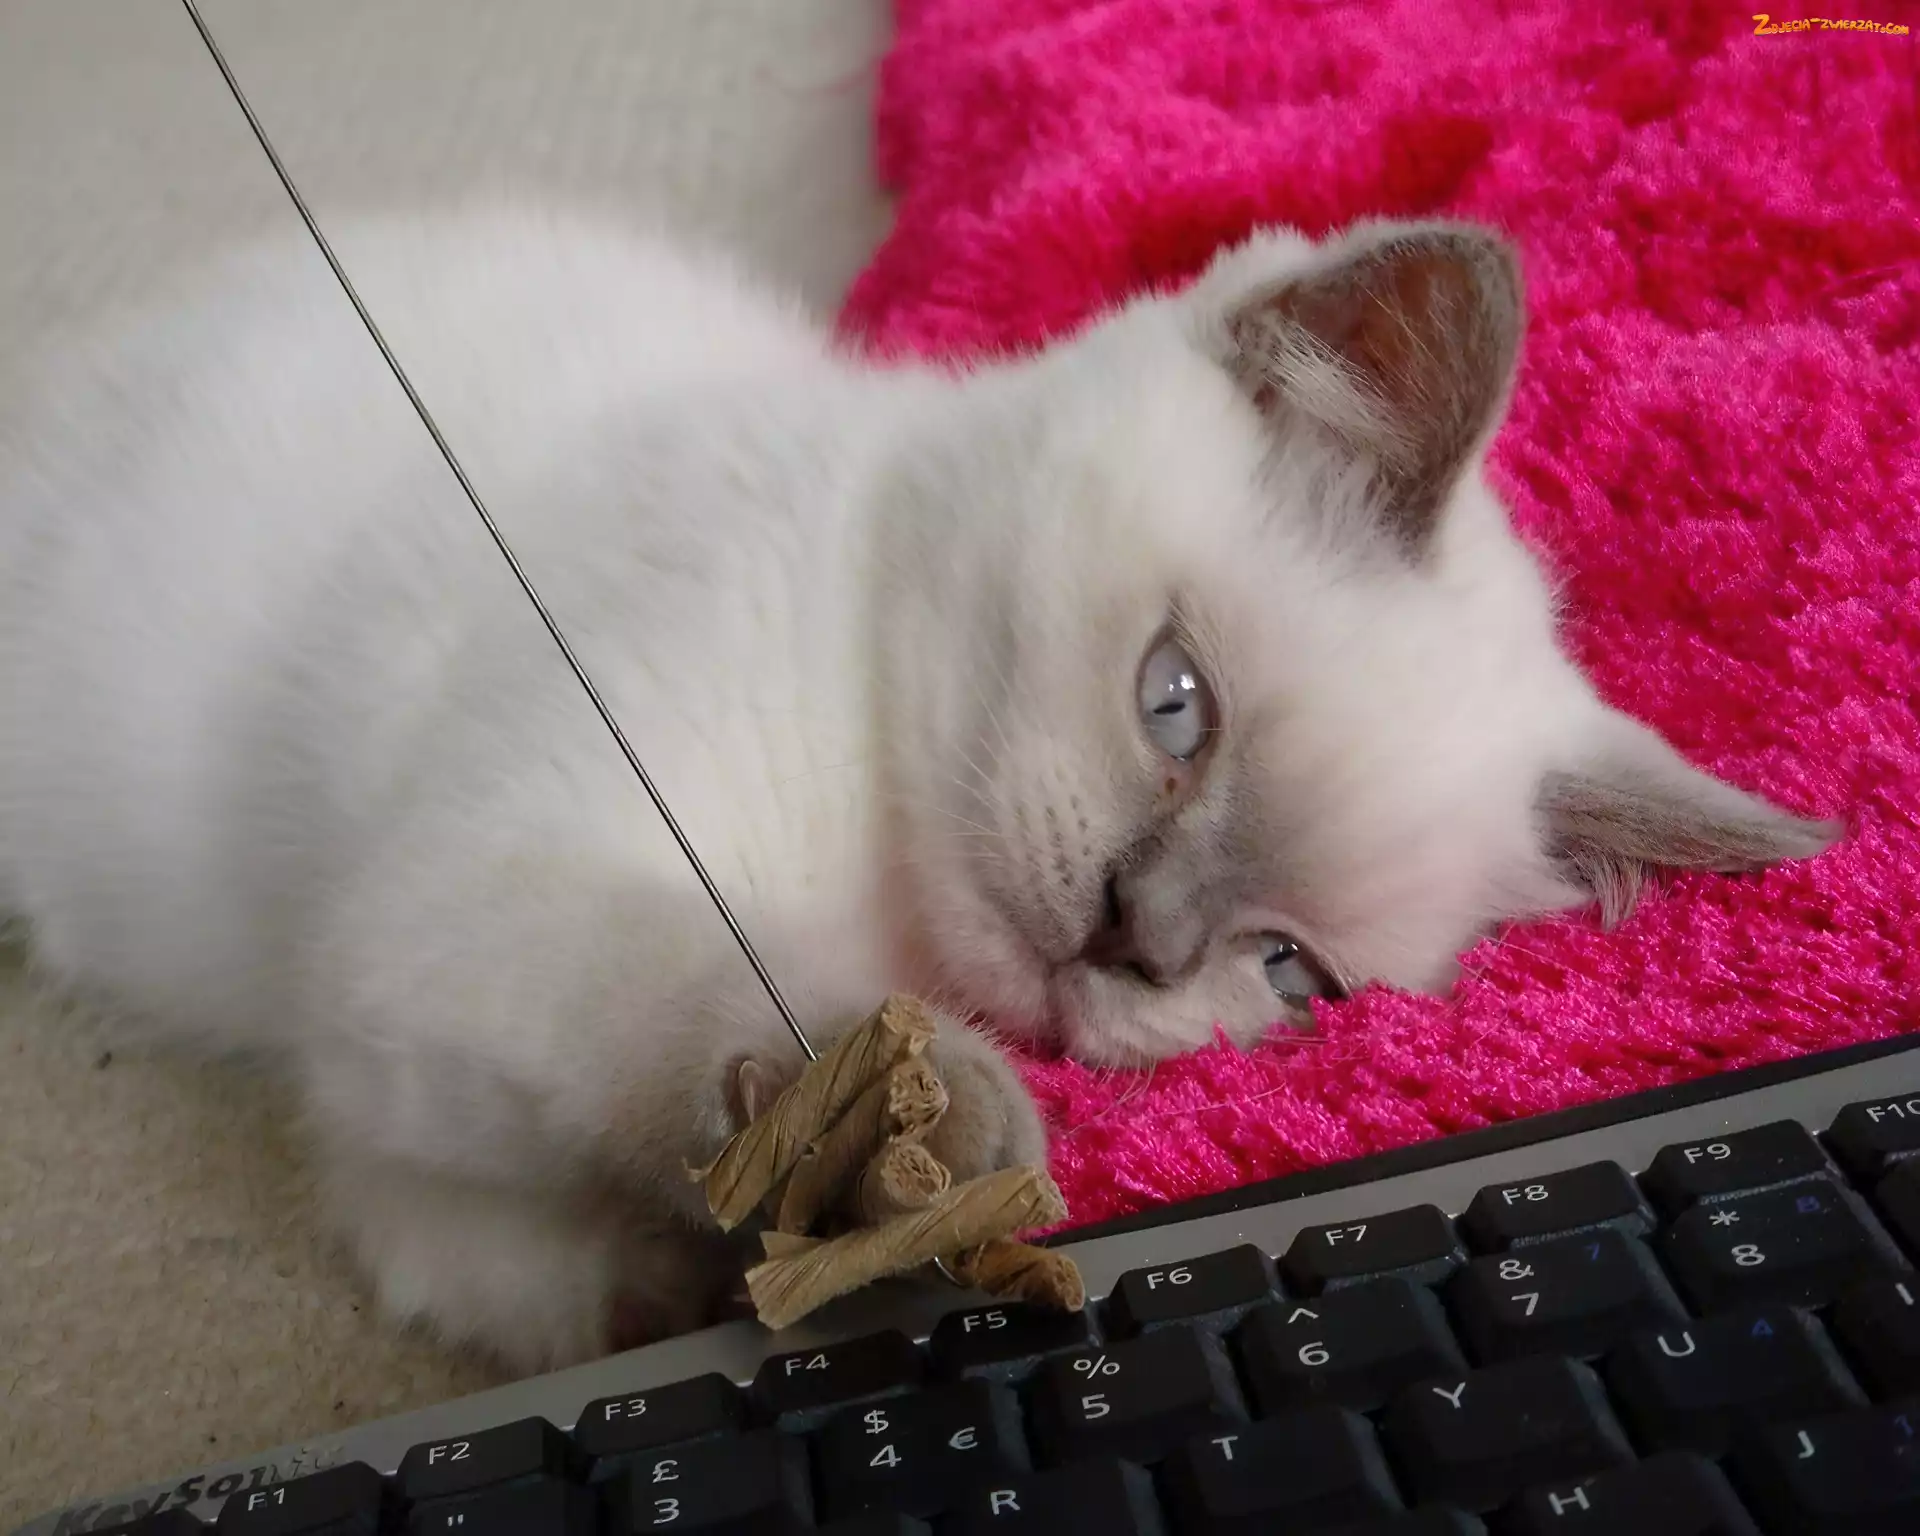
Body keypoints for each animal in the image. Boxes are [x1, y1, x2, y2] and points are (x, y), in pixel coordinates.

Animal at [0, 206, 1834, 1371]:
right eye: (1175, 703)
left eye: (1287, 973)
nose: (1130, 937)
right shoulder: (474, 904)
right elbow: (719, 1004)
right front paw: (912, 1128)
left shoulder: (400, 1084)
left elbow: (508, 1250)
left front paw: (716, 1265)